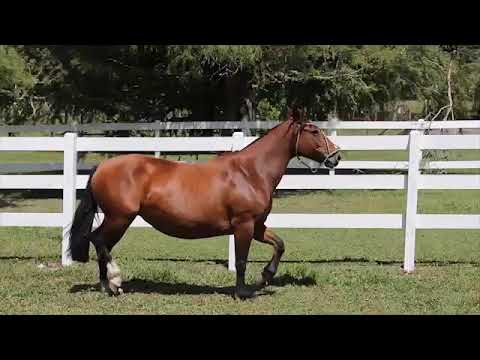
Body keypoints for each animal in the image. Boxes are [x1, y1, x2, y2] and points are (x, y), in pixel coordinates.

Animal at [68, 111, 342, 300]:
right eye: (314, 131)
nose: (337, 156)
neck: (250, 172)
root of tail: (102, 166)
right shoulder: (243, 225)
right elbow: (241, 260)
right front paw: (243, 292)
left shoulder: (257, 225)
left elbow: (280, 245)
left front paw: (265, 277)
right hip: (120, 218)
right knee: (98, 240)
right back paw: (114, 281)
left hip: (118, 220)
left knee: (102, 244)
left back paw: (108, 286)